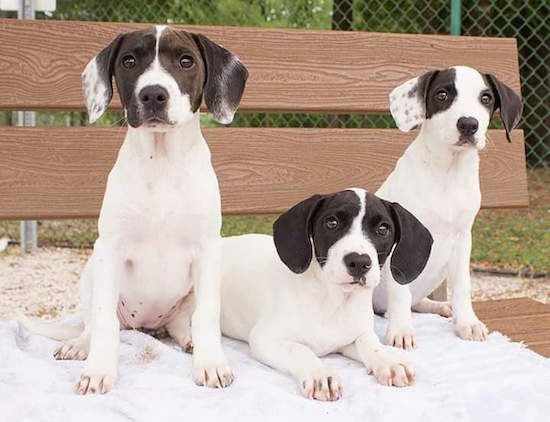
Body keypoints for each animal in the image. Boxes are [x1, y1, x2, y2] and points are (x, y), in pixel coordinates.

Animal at [19, 25, 248, 396]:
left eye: (186, 61)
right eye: (128, 61)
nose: (153, 95)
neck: (162, 162)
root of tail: (147, 326)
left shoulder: (208, 249)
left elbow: (207, 316)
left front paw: (211, 362)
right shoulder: (110, 247)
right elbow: (103, 321)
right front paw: (98, 369)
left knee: (182, 322)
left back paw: (188, 340)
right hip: (93, 271)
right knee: (95, 323)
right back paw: (79, 345)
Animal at [222, 190, 434, 400]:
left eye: (383, 229)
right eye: (332, 223)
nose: (359, 262)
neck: (333, 302)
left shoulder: (352, 338)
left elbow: (371, 344)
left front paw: (390, 362)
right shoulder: (265, 339)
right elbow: (301, 350)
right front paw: (320, 374)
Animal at [376, 66, 528, 350]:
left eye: (486, 98)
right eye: (442, 95)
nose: (468, 124)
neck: (447, 172)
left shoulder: (462, 239)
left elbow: (462, 287)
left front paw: (466, 322)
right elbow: (400, 293)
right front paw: (401, 330)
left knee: (417, 300)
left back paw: (439, 306)